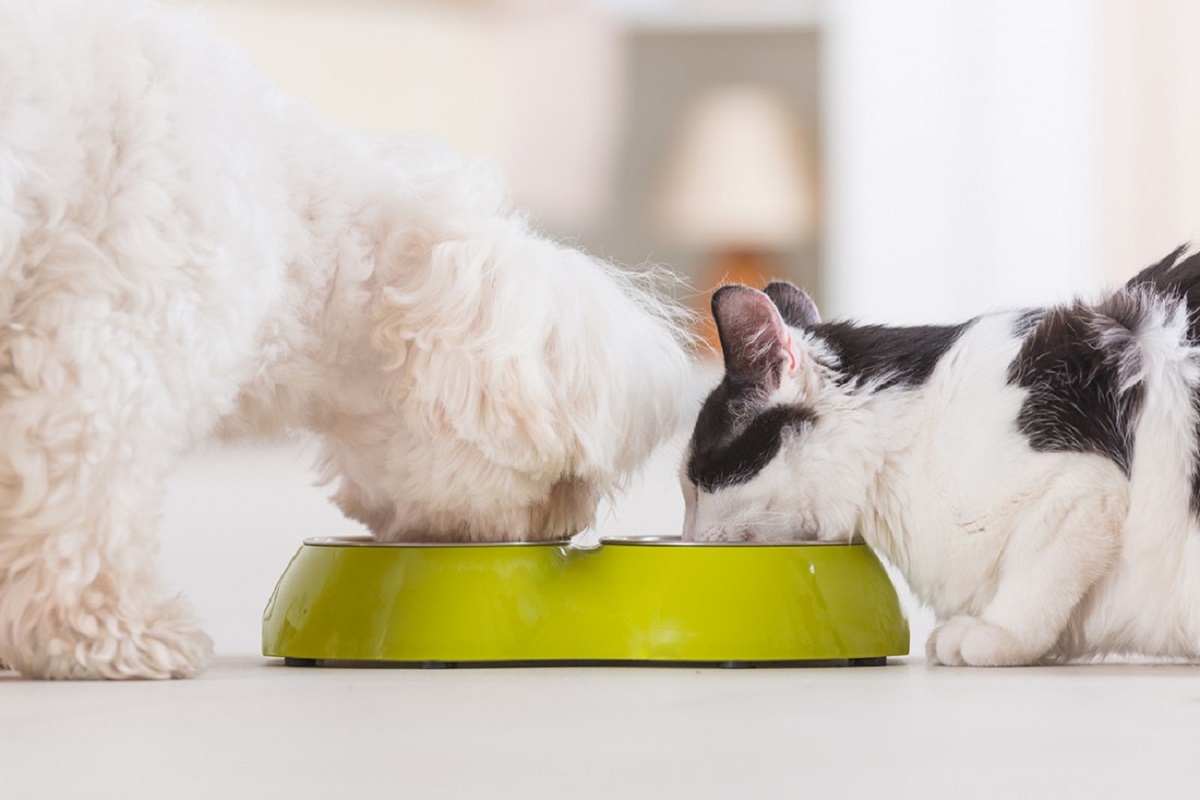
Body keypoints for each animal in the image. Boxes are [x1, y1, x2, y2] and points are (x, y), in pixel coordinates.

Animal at [0, 1, 696, 681]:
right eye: (566, 479)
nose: (568, 526)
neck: (302, 236)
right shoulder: (114, 341)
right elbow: (87, 498)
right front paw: (109, 634)